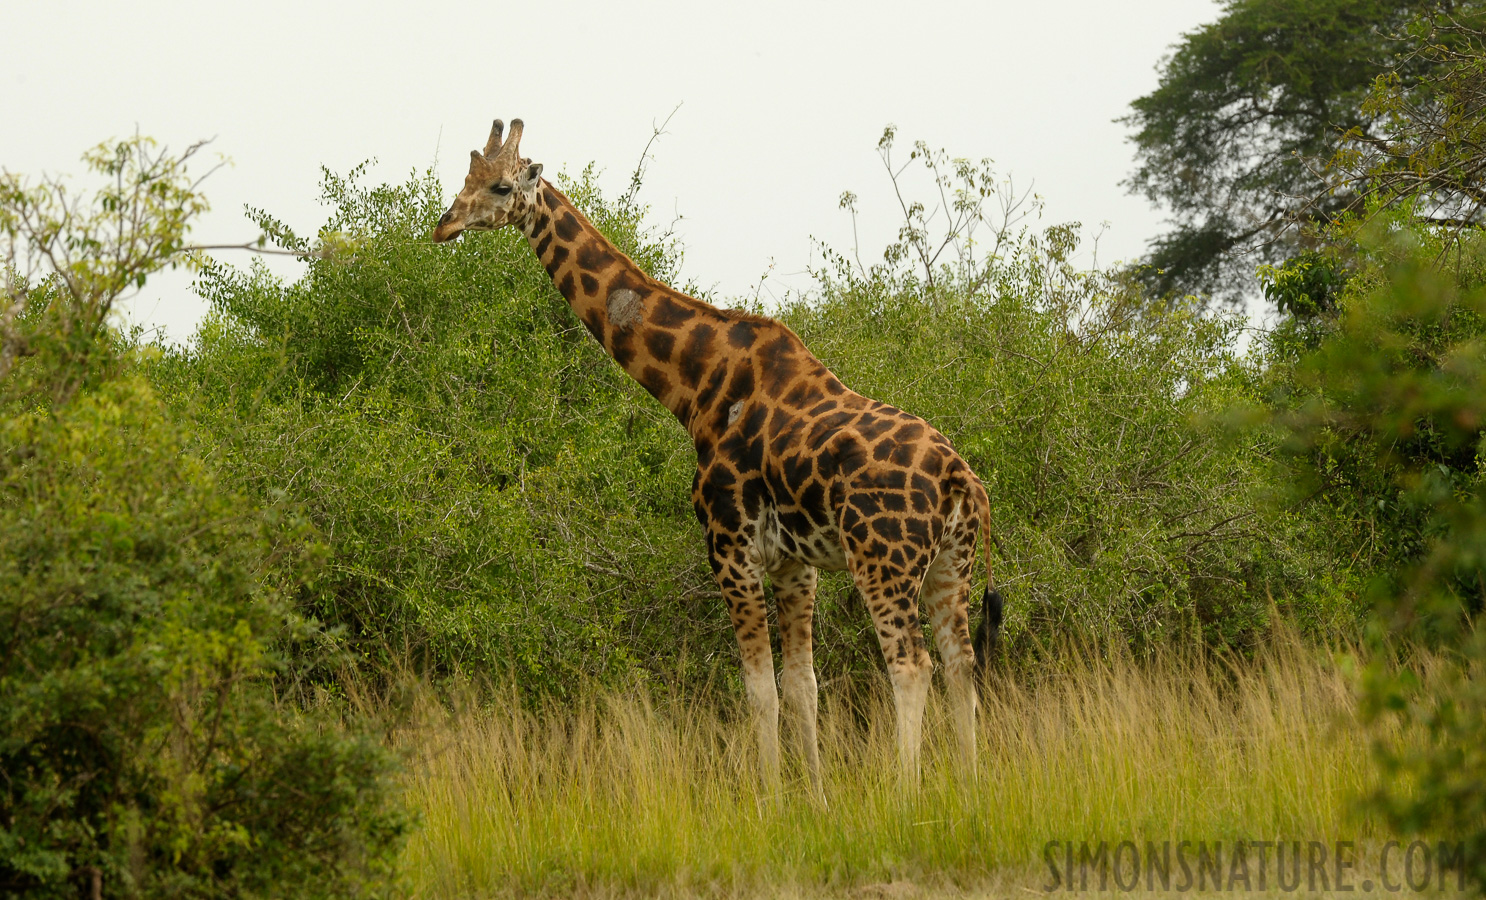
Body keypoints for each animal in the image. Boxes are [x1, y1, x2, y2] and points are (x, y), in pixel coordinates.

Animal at [433, 120, 1010, 790]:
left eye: (501, 186)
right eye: (464, 177)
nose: (445, 224)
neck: (697, 386)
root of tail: (962, 479)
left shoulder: (729, 546)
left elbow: (760, 689)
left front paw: (770, 799)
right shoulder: (794, 563)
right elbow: (803, 685)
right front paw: (816, 798)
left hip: (882, 559)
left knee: (911, 665)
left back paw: (904, 795)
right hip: (950, 562)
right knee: (960, 661)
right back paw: (969, 789)